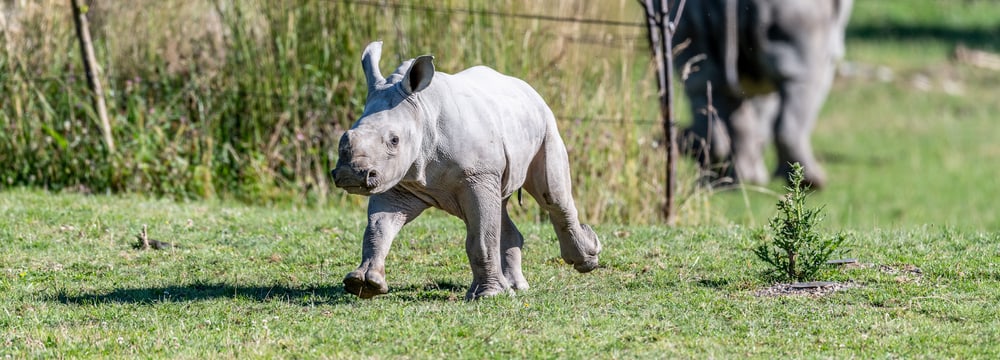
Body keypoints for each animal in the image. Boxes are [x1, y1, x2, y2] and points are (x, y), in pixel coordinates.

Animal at [332, 42, 604, 300]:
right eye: (347, 135)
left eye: (394, 140)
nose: (350, 174)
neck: (421, 109)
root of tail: (528, 88)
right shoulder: (398, 180)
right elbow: (378, 228)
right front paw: (364, 284)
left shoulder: (476, 175)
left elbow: (481, 238)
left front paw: (488, 296)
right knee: (498, 208)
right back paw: (516, 287)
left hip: (547, 124)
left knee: (553, 197)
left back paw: (587, 261)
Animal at [672, 0, 852, 187]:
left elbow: (761, 116)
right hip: (798, 17)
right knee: (804, 80)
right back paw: (812, 181)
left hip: (689, 18)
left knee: (706, 84)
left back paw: (733, 180)